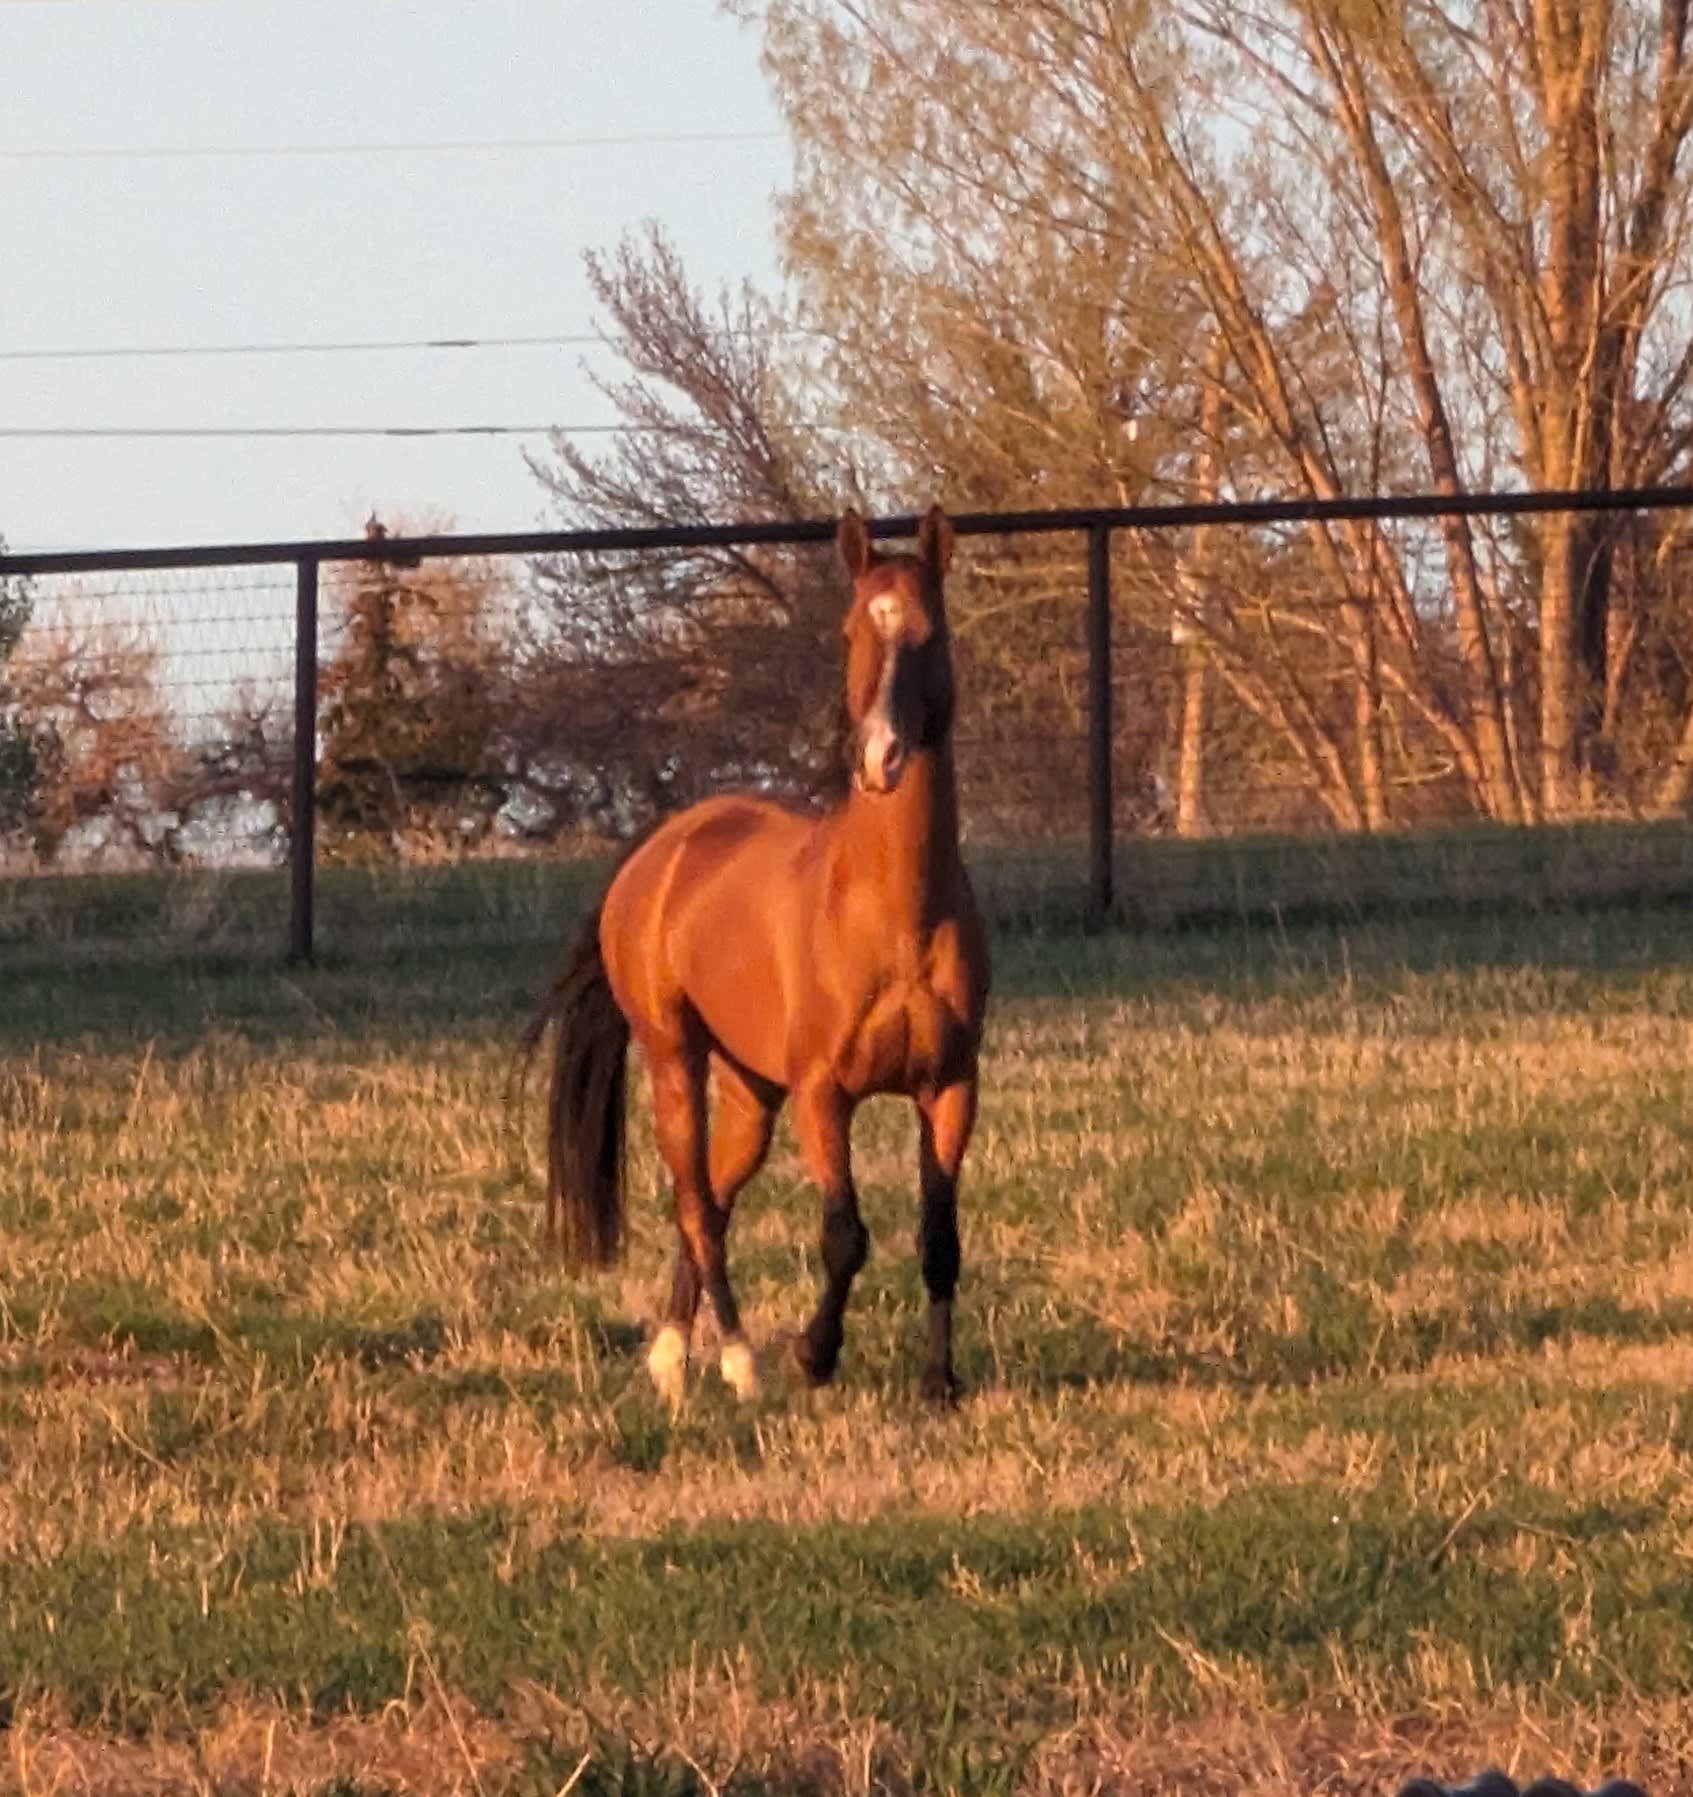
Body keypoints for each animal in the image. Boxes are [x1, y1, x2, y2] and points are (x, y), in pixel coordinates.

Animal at [525, 505, 989, 1405]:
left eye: (931, 631)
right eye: (851, 628)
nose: (879, 757)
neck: (892, 914)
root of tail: (657, 852)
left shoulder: (950, 1088)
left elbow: (938, 1237)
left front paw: (938, 1381)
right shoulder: (824, 1094)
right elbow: (845, 1233)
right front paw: (815, 1353)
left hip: (750, 1091)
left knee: (708, 1196)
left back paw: (673, 1354)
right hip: (676, 1060)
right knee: (694, 1200)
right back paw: (733, 1361)